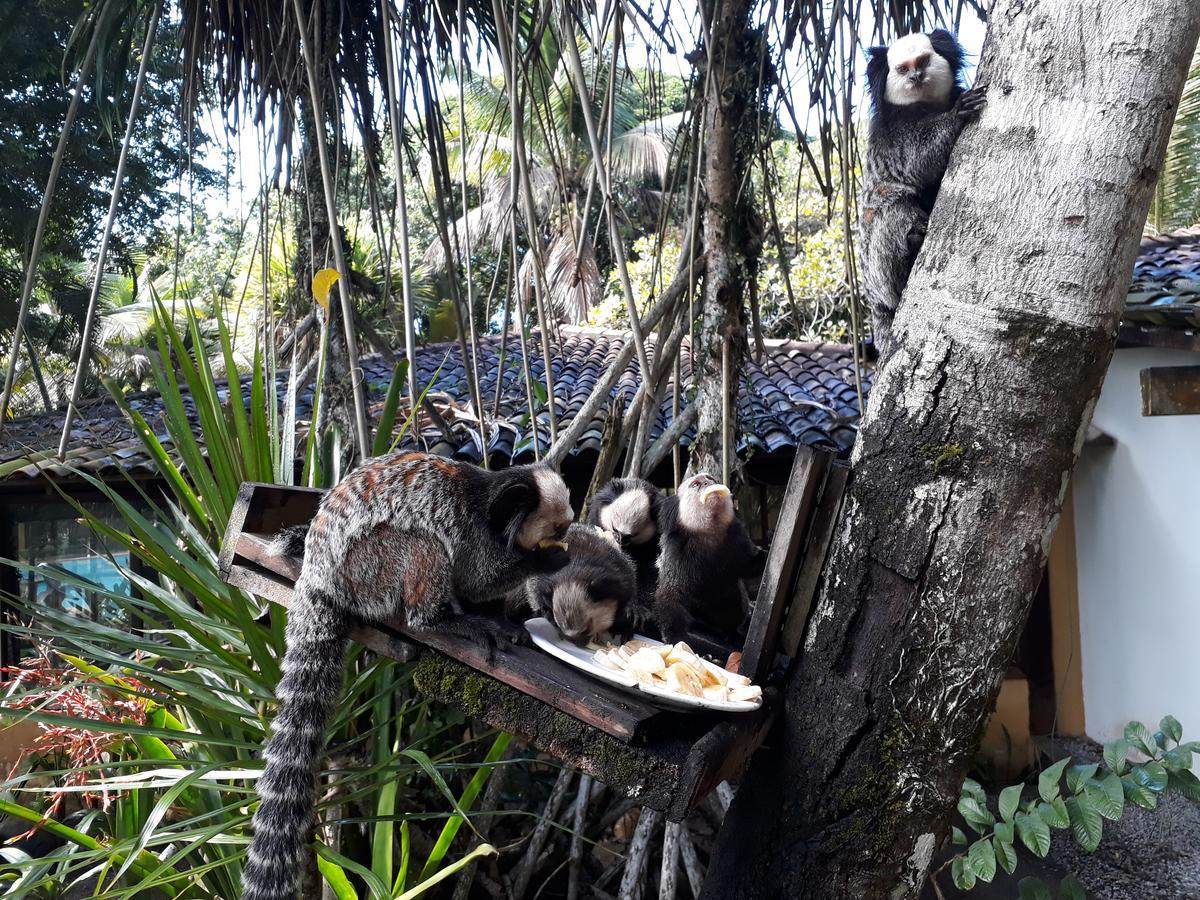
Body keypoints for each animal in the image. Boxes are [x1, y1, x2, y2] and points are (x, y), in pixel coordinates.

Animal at [242, 453, 571, 900]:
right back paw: (441, 621)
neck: (489, 510)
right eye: (557, 529)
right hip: (369, 569)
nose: (566, 536)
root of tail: (319, 575)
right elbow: (478, 578)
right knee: (422, 545)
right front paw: (546, 563)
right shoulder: (472, 535)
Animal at [864, 31, 984, 362]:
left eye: (923, 61)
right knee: (893, 208)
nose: (916, 77)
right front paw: (957, 114)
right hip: (878, 274)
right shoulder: (891, 135)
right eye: (903, 69)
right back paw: (913, 240)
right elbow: (917, 160)